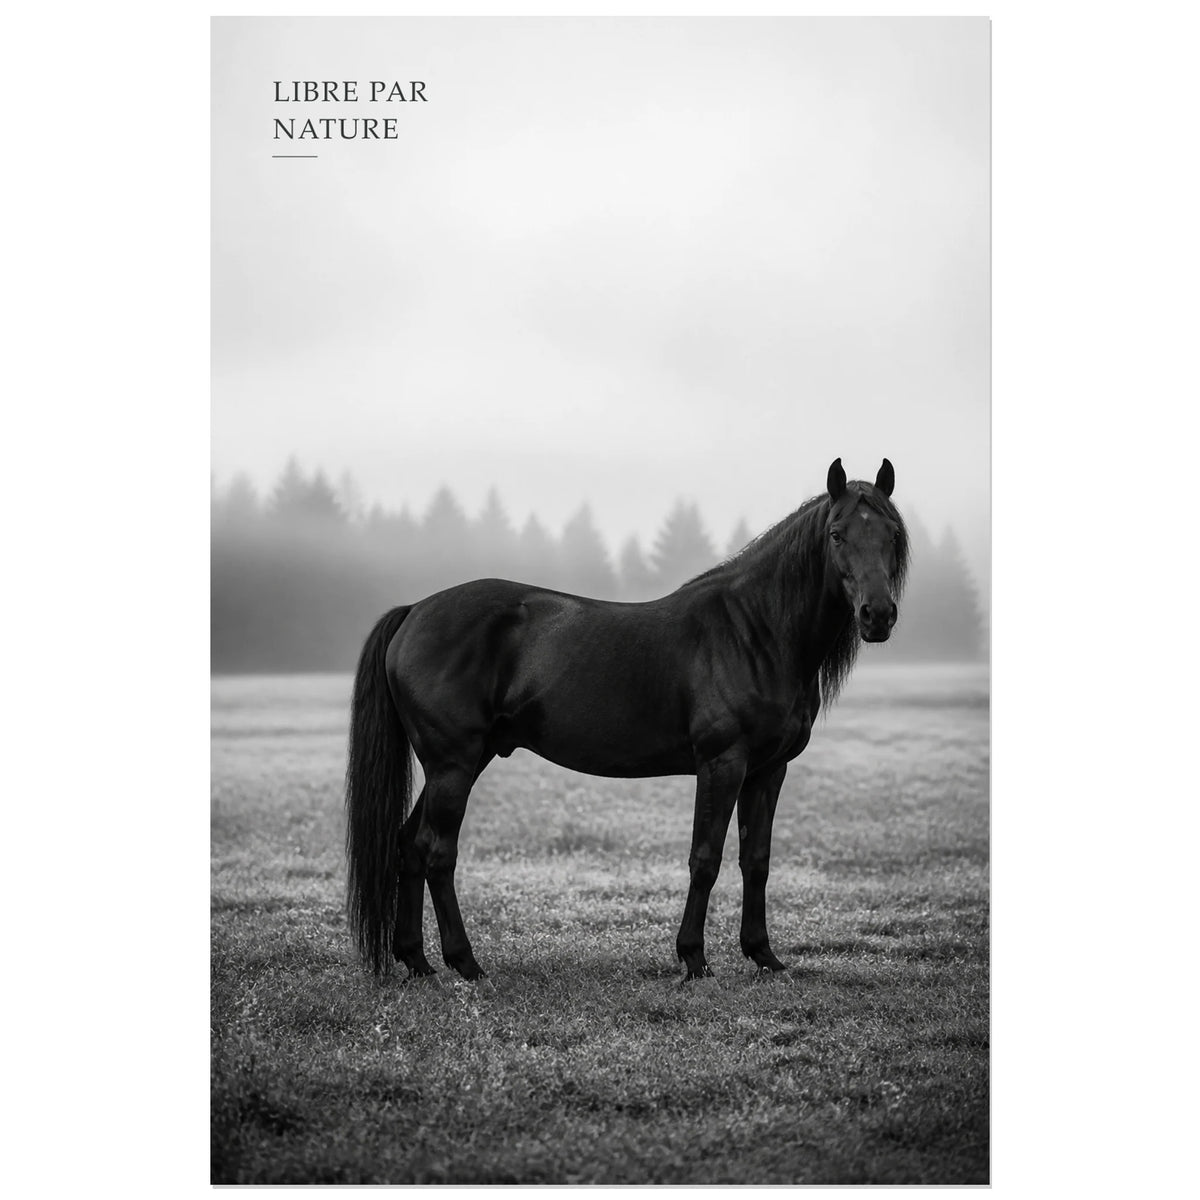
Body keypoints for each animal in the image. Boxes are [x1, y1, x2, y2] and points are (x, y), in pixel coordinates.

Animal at [346, 458, 908, 982]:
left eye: (891, 534)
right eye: (837, 534)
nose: (878, 615)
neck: (756, 632)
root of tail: (415, 611)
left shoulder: (769, 771)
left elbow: (757, 860)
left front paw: (764, 956)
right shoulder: (722, 764)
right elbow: (705, 858)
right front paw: (694, 959)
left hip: (460, 761)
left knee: (408, 845)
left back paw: (417, 961)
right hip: (453, 765)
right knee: (436, 851)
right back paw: (466, 964)